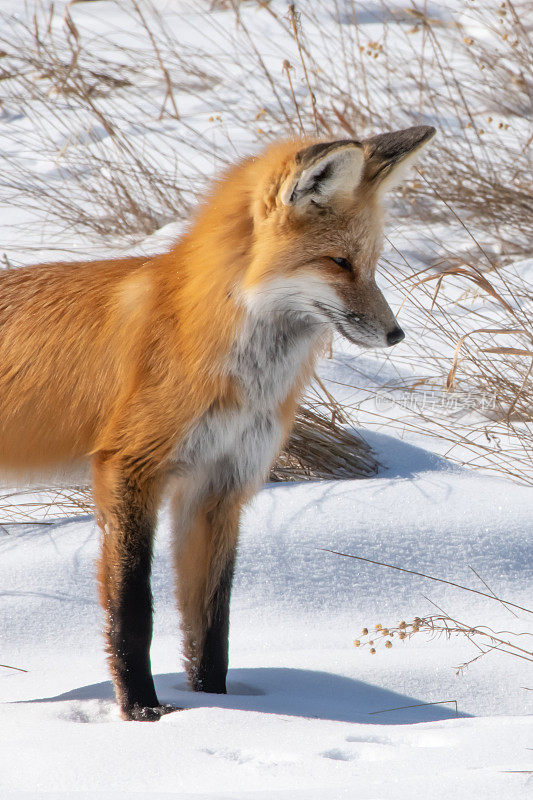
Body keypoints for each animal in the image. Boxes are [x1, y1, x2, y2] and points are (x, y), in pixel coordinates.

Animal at [0, 125, 432, 720]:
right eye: (338, 262)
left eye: (369, 262)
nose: (396, 335)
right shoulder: (128, 468)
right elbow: (132, 609)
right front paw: (142, 713)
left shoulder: (221, 485)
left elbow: (212, 625)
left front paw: (216, 708)